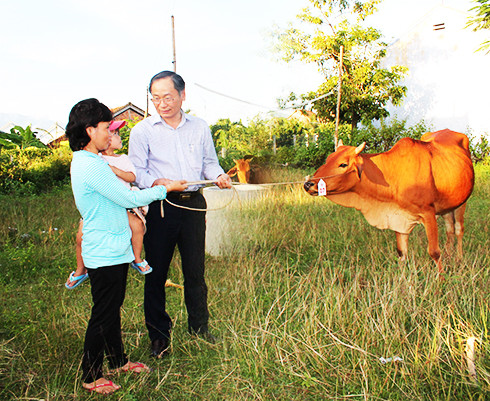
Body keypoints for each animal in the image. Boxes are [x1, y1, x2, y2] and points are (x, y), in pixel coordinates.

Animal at [302, 130, 474, 274]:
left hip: (461, 203)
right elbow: (402, 252)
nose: (308, 184)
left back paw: (458, 259)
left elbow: (434, 252)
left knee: (458, 229)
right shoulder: (399, 217)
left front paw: (441, 280)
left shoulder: (428, 213)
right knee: (449, 229)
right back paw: (449, 256)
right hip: (446, 207)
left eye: (343, 164)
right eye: (327, 159)